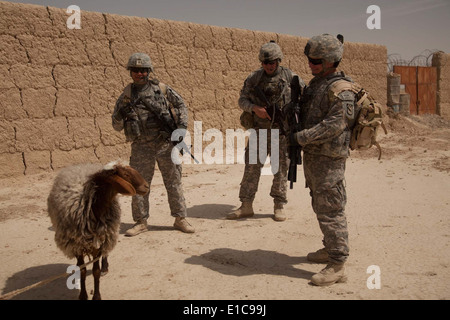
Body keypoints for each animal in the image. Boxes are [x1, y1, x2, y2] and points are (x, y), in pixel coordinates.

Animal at [47, 160, 149, 300]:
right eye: (126, 174)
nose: (147, 186)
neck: (92, 208)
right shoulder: (76, 245)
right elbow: (82, 270)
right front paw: (83, 295)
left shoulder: (98, 243)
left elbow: (96, 271)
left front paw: (96, 296)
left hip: (107, 235)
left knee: (105, 253)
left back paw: (104, 267)